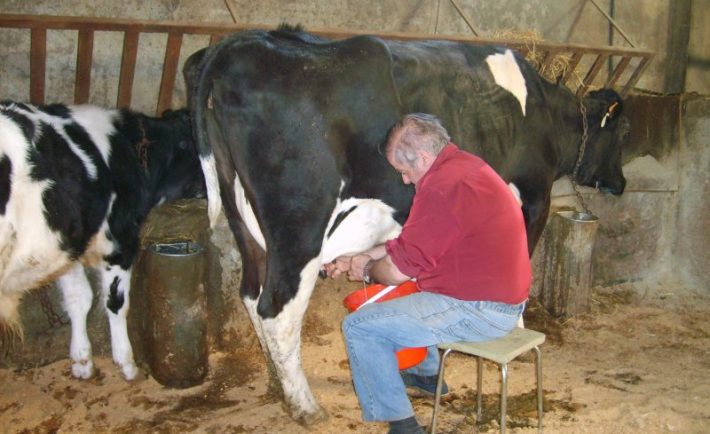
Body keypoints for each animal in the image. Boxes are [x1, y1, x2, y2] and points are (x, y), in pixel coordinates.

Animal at [0, 101, 205, 380]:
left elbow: (79, 298)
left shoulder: (69, 245)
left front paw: (82, 361)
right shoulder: (119, 243)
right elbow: (116, 303)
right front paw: (127, 363)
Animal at [184, 27, 629, 423]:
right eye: (621, 135)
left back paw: (279, 386)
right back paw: (305, 407)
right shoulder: (534, 199)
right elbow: (522, 275)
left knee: (250, 296)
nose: (621, 184)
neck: (543, 110)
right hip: (299, 223)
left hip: (245, 223)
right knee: (277, 309)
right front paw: (515, 331)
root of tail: (241, 43)